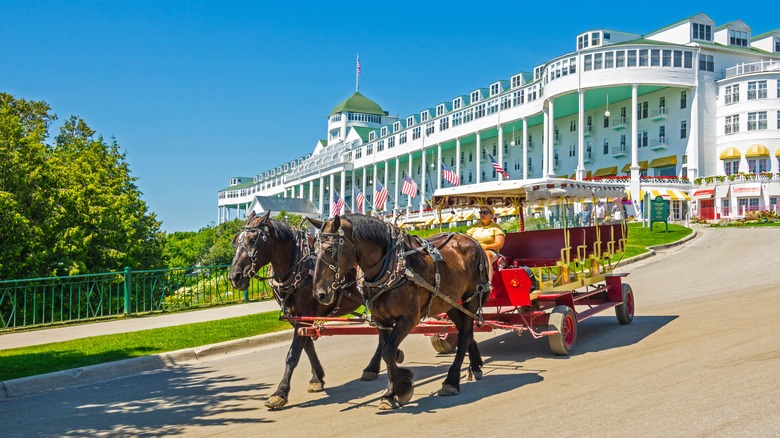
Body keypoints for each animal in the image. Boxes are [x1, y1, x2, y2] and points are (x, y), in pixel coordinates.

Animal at [229, 210, 394, 408]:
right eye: (236, 240)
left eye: (253, 239)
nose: (235, 277)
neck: (298, 266)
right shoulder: (295, 316)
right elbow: (306, 345)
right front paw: (317, 378)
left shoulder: (304, 313)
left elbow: (293, 354)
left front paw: (280, 392)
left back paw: (373, 367)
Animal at [310, 214, 488, 408]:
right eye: (313, 250)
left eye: (330, 249)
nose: (319, 293)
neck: (392, 267)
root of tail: (470, 239)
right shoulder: (381, 319)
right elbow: (388, 352)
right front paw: (392, 391)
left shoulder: (409, 318)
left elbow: (388, 351)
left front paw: (402, 387)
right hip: (449, 302)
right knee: (465, 331)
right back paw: (475, 365)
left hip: (471, 299)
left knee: (465, 335)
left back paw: (452, 380)